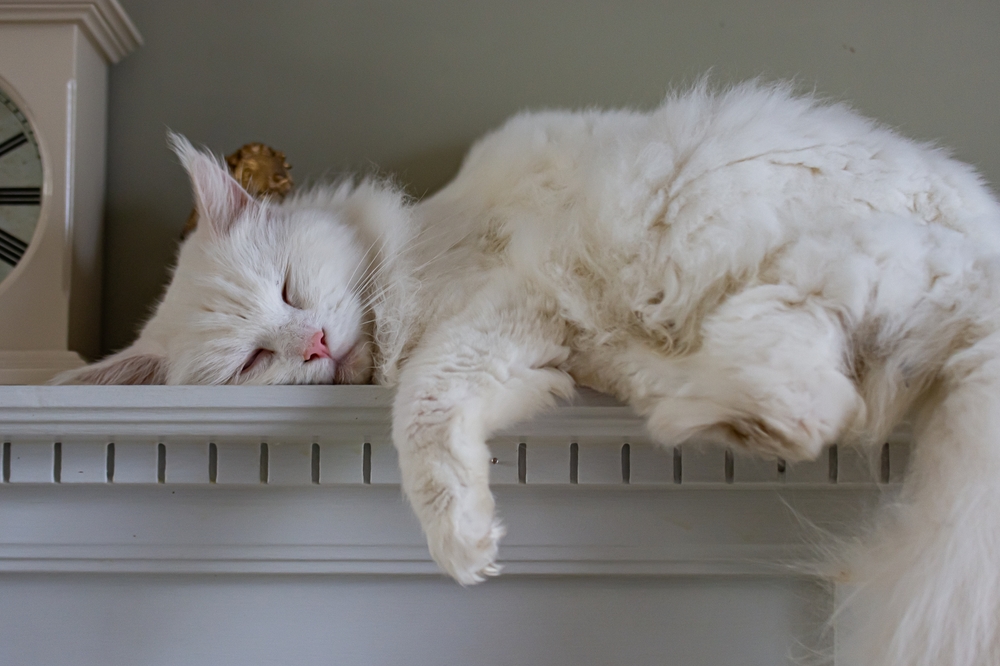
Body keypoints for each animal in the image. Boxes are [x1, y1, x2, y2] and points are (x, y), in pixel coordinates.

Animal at [60, 81, 1000, 664]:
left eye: (290, 288)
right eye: (253, 360)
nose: (317, 346)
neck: (419, 245)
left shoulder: (503, 304)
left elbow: (420, 407)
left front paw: (461, 541)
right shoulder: (530, 333)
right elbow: (461, 404)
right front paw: (472, 526)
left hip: (799, 270)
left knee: (820, 400)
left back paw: (705, 411)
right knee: (811, 407)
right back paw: (694, 408)